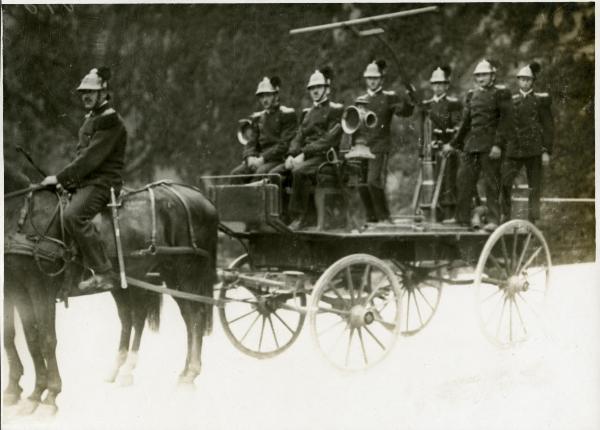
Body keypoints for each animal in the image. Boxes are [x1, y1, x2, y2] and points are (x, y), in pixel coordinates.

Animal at [2, 163, 218, 414]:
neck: (21, 213)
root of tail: (202, 198)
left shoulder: (40, 288)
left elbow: (45, 338)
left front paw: (48, 396)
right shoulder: (14, 289)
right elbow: (19, 337)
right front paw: (19, 391)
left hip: (183, 274)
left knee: (194, 317)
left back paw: (188, 373)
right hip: (150, 279)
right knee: (165, 318)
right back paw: (166, 372)